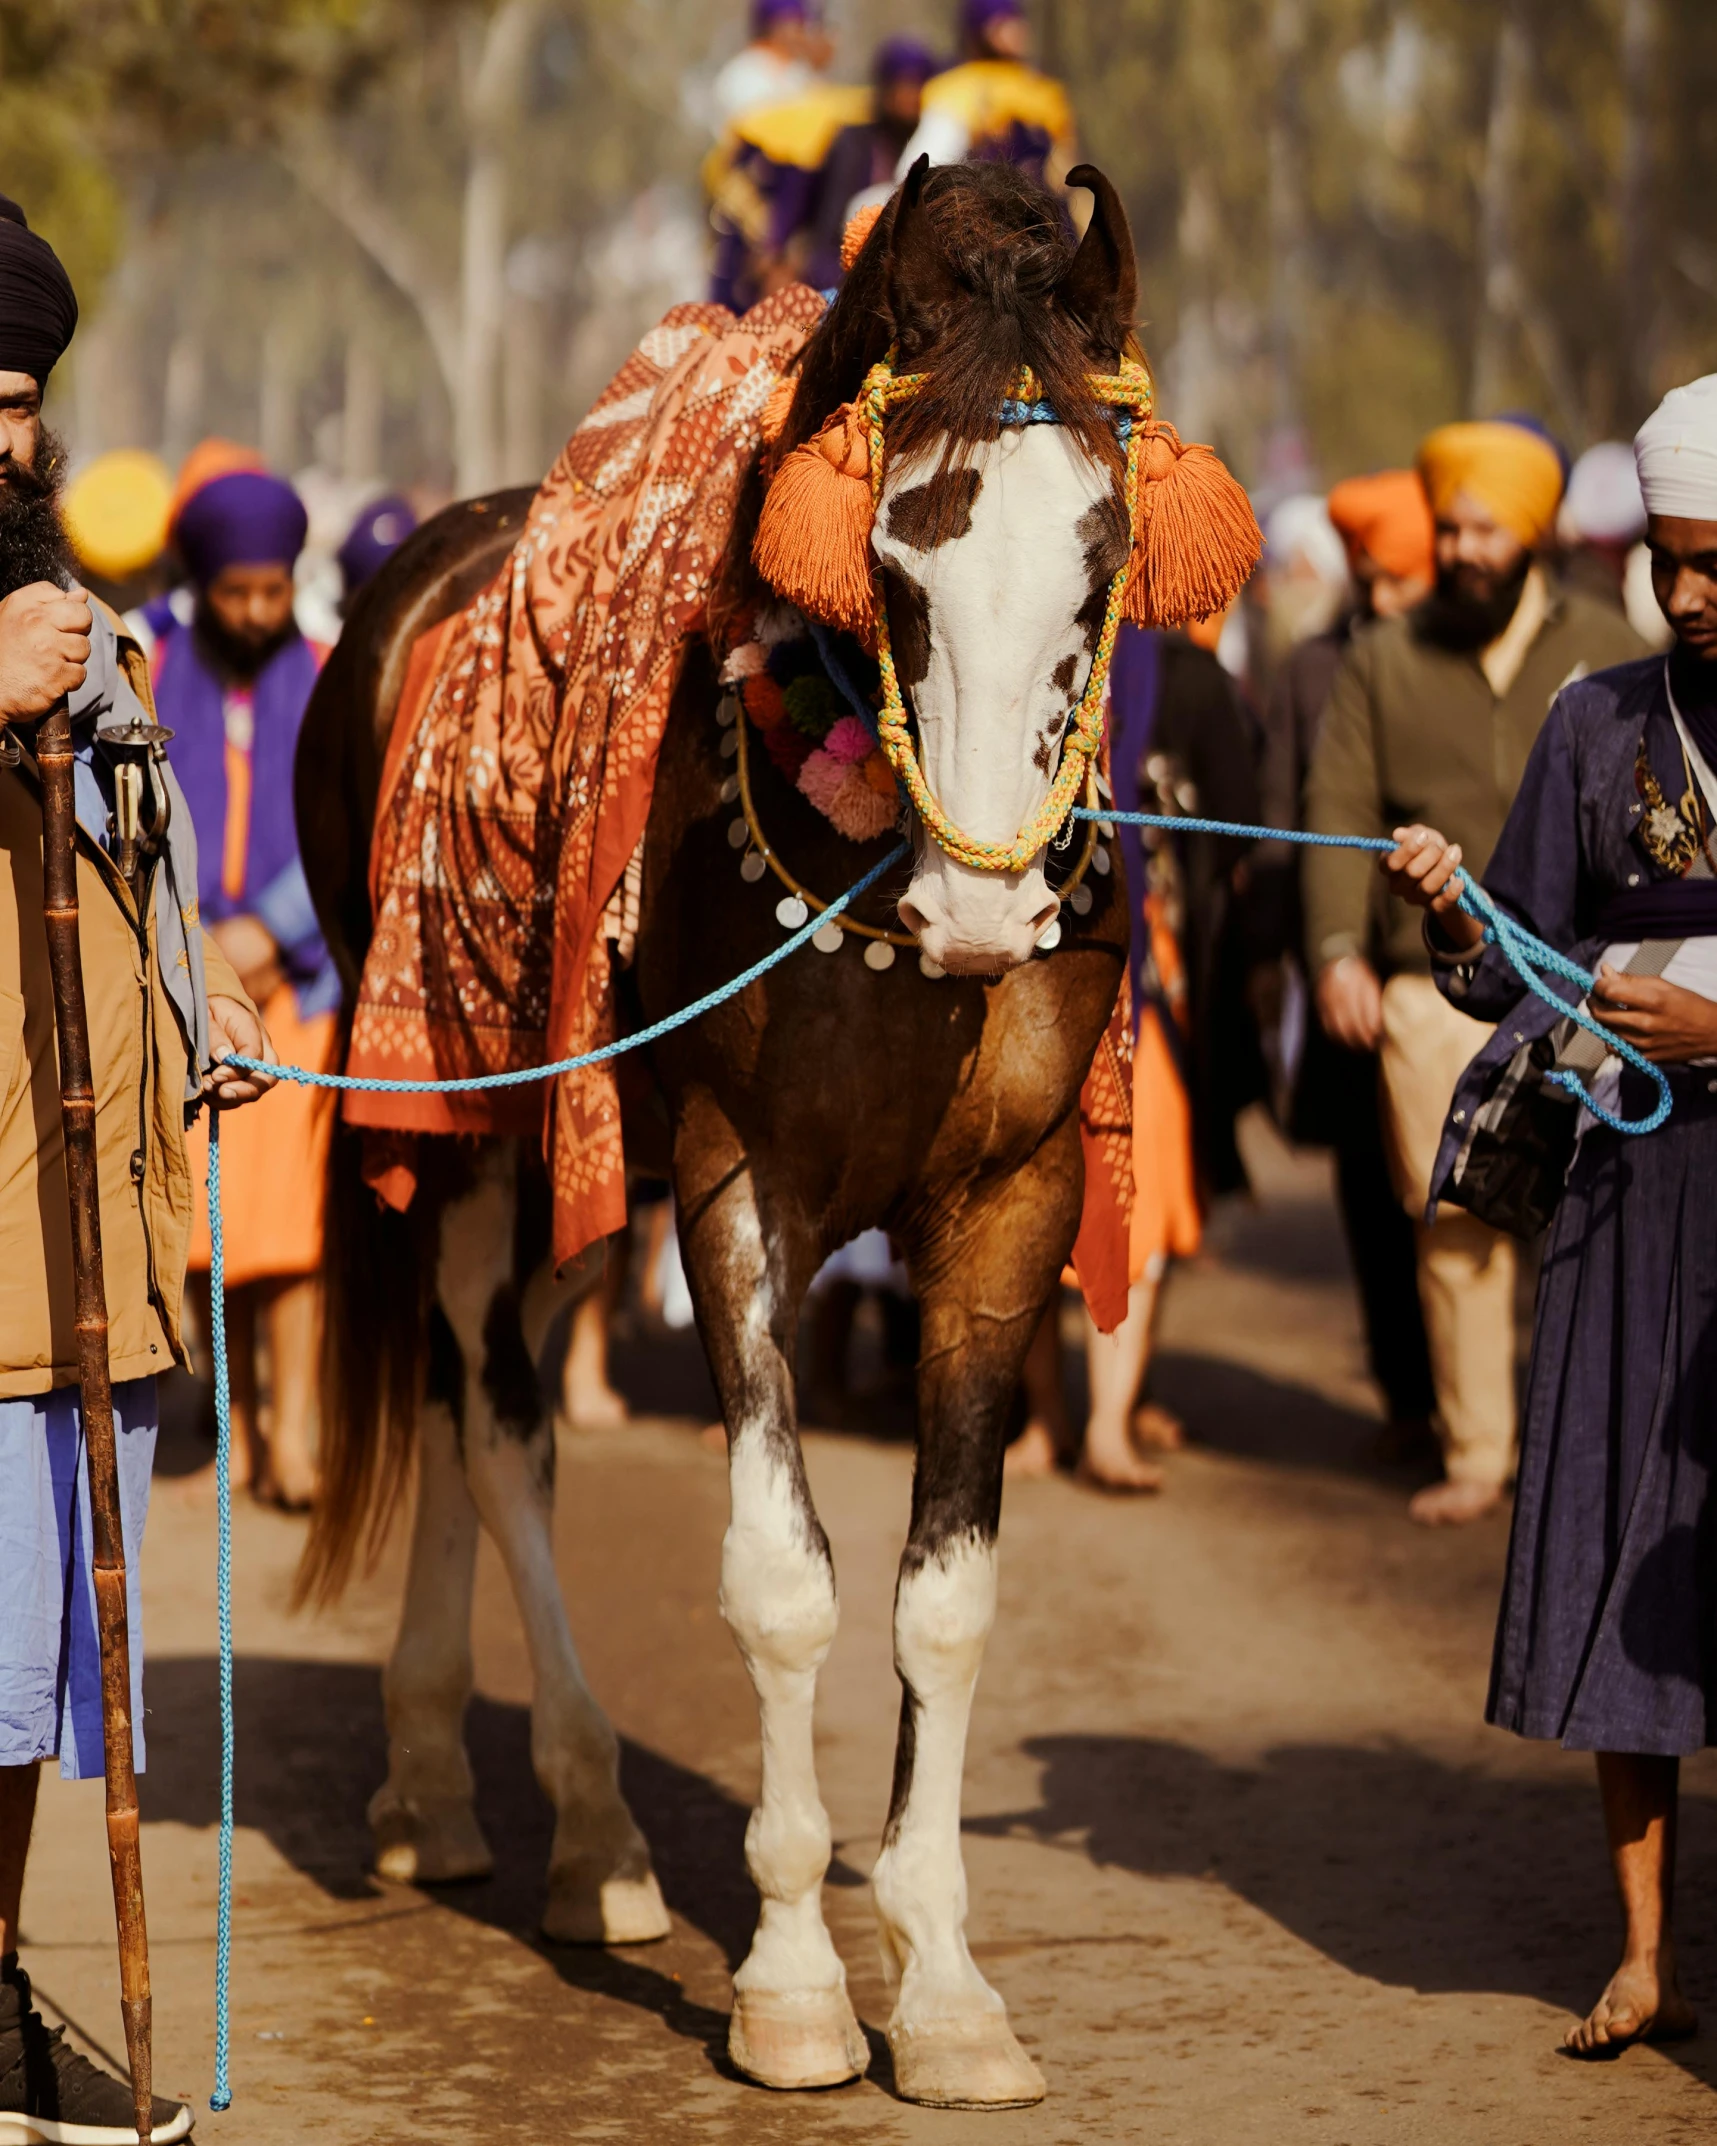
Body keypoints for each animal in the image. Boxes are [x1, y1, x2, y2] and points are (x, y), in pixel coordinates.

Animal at [302, 158, 1150, 2103]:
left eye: (1098, 550)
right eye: (890, 558)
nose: (985, 905)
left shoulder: (1014, 1200)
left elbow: (942, 1594)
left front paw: (946, 1987)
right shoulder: (736, 1184)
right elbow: (782, 1583)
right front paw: (790, 1981)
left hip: (580, 1175)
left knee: (473, 1400)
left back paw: (435, 1788)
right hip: (481, 1143)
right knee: (496, 1416)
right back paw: (593, 1828)